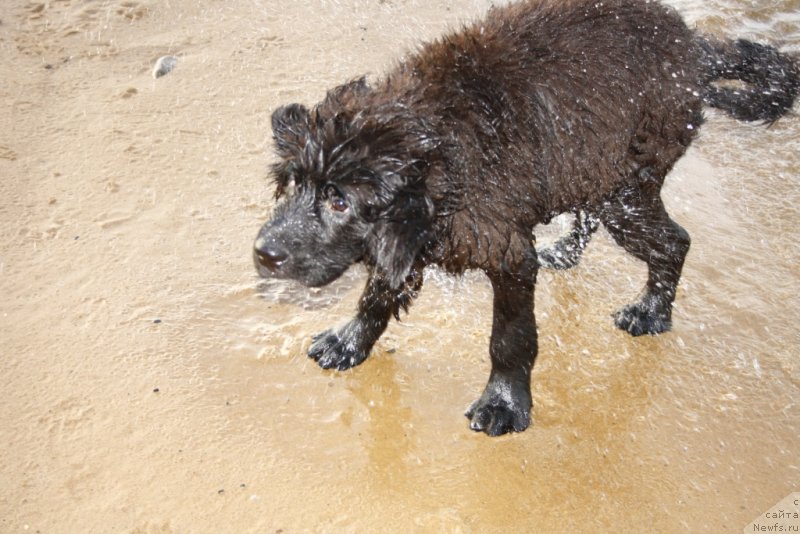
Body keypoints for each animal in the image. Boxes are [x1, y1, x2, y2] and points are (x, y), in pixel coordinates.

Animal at [253, 0, 796, 438]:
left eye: (340, 201)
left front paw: (503, 404)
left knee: (675, 240)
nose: (263, 254)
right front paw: (349, 342)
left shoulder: (508, 253)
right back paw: (569, 252)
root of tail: (694, 47)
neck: (442, 153)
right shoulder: (408, 240)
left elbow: (510, 338)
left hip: (628, 189)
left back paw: (651, 312)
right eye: (294, 184)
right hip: (594, 168)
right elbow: (377, 295)